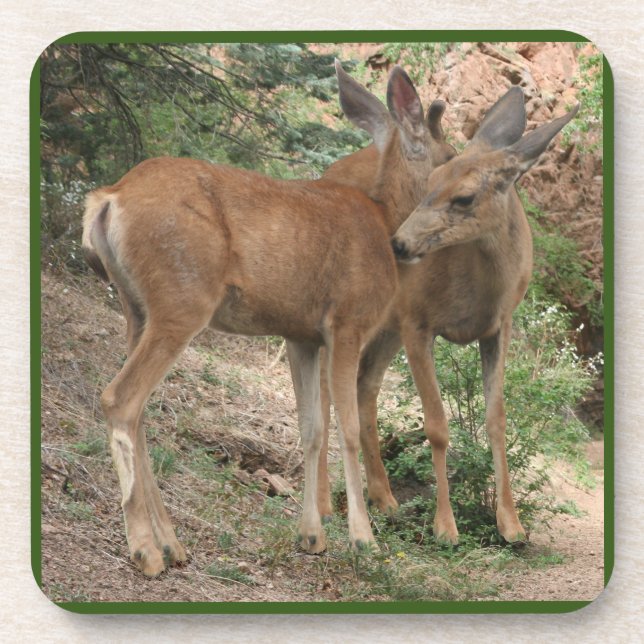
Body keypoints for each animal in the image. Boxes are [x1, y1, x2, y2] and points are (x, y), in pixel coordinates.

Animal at [81, 61, 454, 576]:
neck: (384, 221)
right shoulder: (347, 322)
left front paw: (312, 536)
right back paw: (146, 550)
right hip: (182, 300)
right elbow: (348, 428)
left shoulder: (301, 335)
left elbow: (312, 429)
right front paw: (363, 539)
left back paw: (173, 544)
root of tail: (108, 198)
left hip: (135, 306)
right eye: (451, 155)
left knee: (136, 412)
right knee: (120, 398)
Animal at [316, 83, 579, 545]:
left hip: (385, 326)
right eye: (431, 180)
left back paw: (384, 497)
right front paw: (445, 526)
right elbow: (437, 425)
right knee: (329, 386)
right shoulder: (417, 321)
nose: (399, 244)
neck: (478, 290)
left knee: (365, 383)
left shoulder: (499, 326)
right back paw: (335, 506)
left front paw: (512, 525)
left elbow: (497, 419)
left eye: (464, 197)